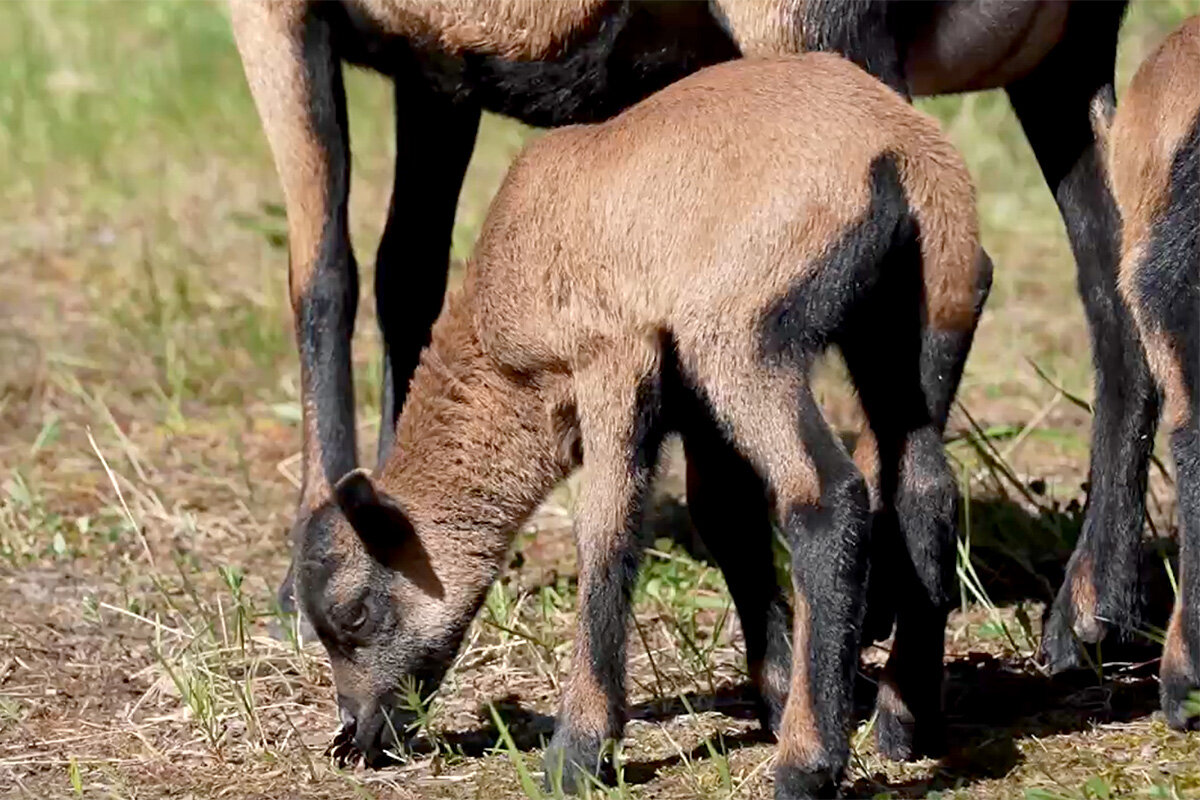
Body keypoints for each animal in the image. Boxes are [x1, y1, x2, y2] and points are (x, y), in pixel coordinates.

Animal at [295, 53, 988, 796]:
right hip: (920, 319)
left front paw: (578, 750)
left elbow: (608, 533)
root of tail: (894, 149)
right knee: (923, 488)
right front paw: (774, 691)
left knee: (826, 497)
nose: (355, 735)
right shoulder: (695, 406)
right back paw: (903, 721)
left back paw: (808, 762)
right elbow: (727, 522)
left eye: (354, 615)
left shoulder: (612, 359)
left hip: (745, 330)